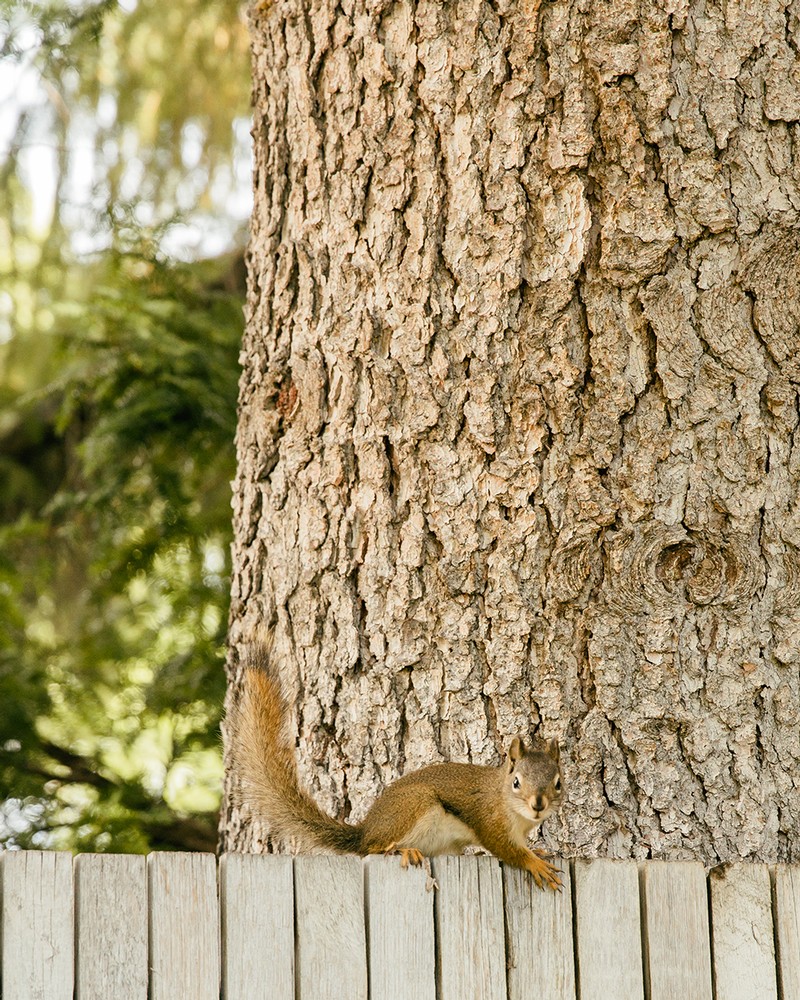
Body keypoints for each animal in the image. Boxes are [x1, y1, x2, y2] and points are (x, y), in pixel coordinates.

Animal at [230, 643, 564, 890]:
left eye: (558, 783)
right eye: (516, 782)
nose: (538, 804)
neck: (512, 808)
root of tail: (365, 829)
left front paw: (538, 850)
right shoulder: (489, 820)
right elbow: (506, 849)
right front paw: (534, 863)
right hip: (412, 805)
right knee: (373, 848)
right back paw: (401, 849)